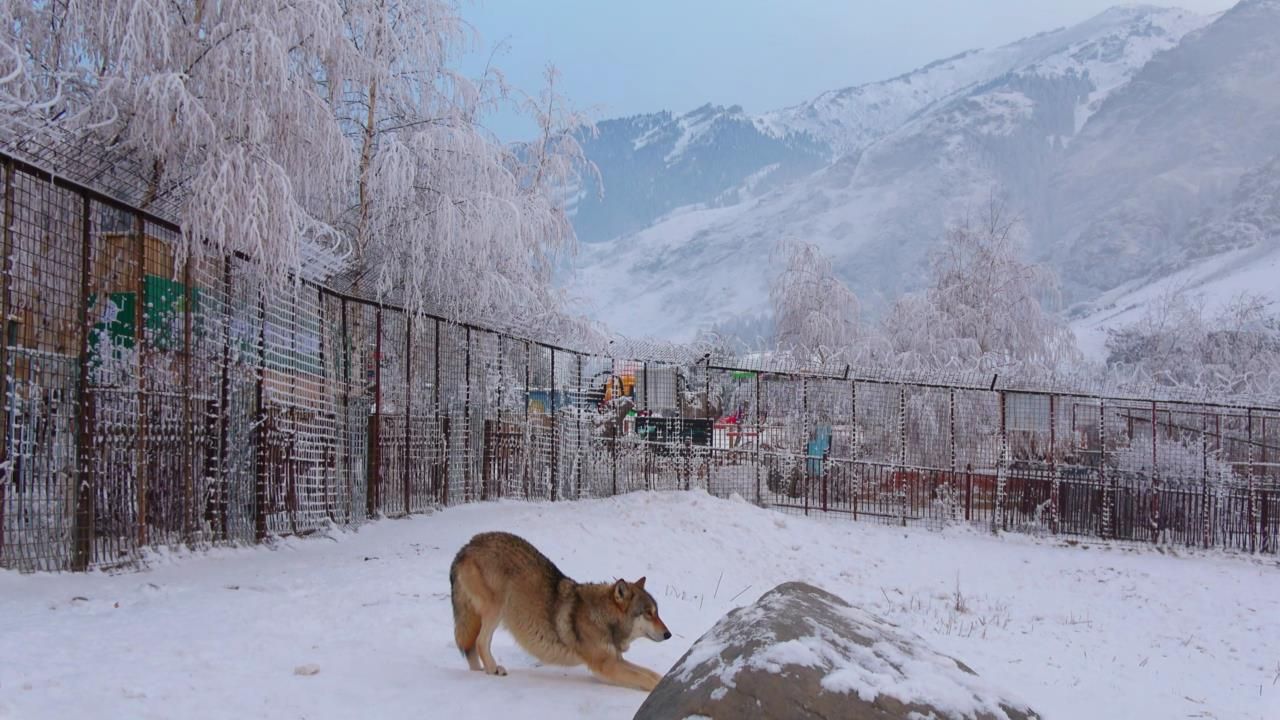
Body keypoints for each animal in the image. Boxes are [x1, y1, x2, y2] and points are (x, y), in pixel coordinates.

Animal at [448, 527, 670, 691]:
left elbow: (652, 674)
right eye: (648, 613)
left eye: (657, 612)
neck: (603, 617)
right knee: (480, 642)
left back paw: (480, 672)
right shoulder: (607, 666)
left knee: (470, 648)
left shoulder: (617, 659)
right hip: (496, 610)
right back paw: (493, 669)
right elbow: (648, 679)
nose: (668, 634)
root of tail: (468, 545)